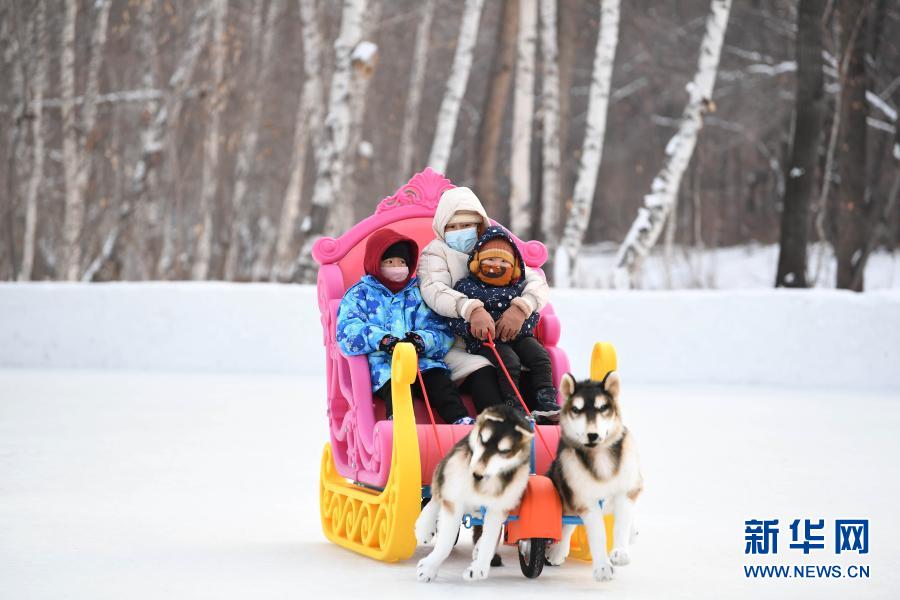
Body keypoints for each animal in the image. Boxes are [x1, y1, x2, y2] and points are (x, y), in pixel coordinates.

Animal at [416, 404, 536, 580]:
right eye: (483, 440)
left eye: (504, 451)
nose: (476, 473)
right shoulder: (454, 496)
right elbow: (446, 540)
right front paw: (429, 568)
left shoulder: (498, 508)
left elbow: (490, 539)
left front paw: (479, 567)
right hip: (446, 470)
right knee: (435, 499)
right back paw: (424, 527)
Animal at [544, 372, 644, 580]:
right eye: (576, 409)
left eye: (603, 407)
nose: (592, 435)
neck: (600, 458)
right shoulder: (583, 498)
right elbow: (595, 532)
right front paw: (602, 567)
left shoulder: (625, 488)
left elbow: (622, 521)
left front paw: (620, 552)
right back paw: (557, 550)